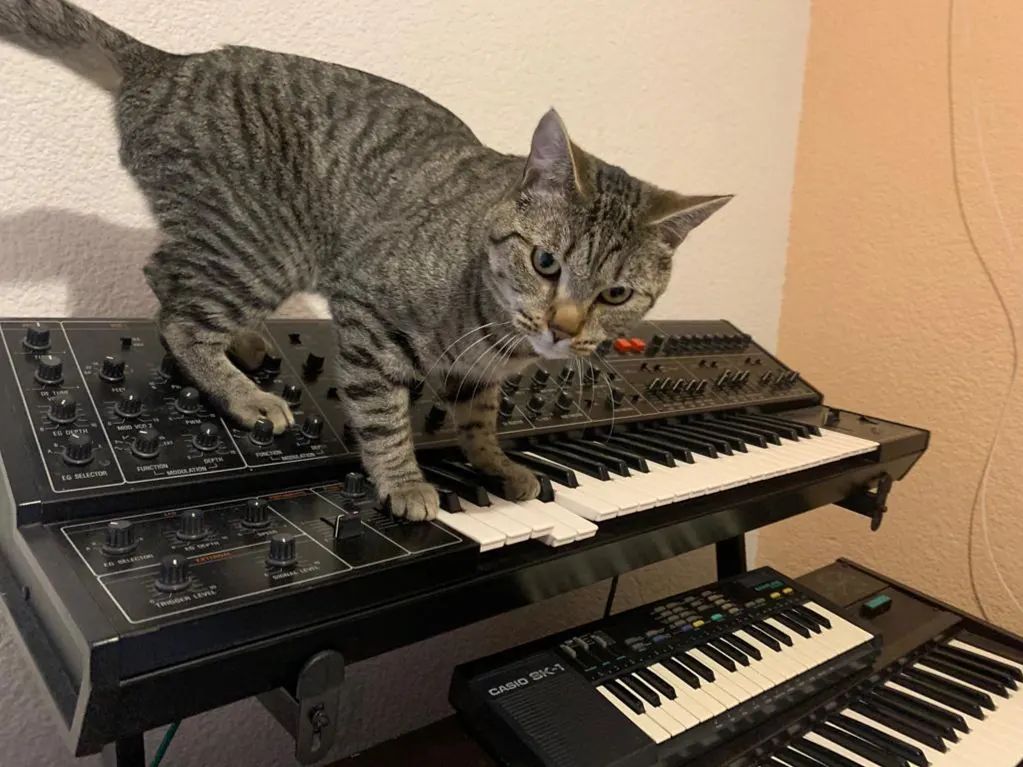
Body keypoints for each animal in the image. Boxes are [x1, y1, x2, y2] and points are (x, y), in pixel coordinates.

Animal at [3, 0, 732, 523]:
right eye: (546, 261)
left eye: (616, 295)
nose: (563, 327)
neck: (497, 331)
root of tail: (167, 63)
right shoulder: (368, 312)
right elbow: (382, 415)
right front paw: (406, 483)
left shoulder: (477, 373)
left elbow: (479, 418)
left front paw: (496, 463)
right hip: (265, 244)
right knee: (179, 313)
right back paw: (245, 393)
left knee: (166, 274)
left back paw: (246, 341)